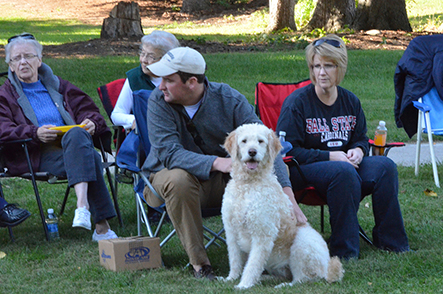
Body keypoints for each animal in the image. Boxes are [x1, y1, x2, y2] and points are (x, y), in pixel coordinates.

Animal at [222, 123, 344, 288]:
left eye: (260, 141)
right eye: (244, 141)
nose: (252, 152)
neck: (248, 184)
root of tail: (326, 269)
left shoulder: (263, 234)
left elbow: (253, 264)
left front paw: (244, 285)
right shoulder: (231, 231)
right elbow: (235, 260)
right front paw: (231, 278)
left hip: (303, 242)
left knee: (302, 279)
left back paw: (283, 285)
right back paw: (264, 278)